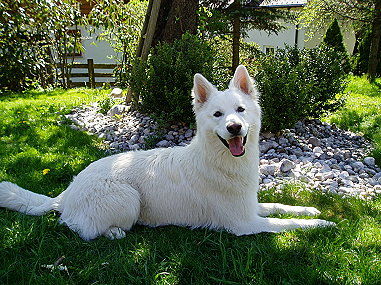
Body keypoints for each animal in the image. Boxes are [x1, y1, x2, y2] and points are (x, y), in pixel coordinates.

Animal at [0, 65, 332, 239]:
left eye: (239, 110)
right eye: (217, 115)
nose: (235, 127)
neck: (219, 161)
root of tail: (66, 193)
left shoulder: (251, 207)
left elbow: (282, 207)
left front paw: (312, 210)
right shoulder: (245, 224)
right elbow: (286, 223)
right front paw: (323, 225)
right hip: (128, 197)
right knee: (78, 228)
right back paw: (113, 232)